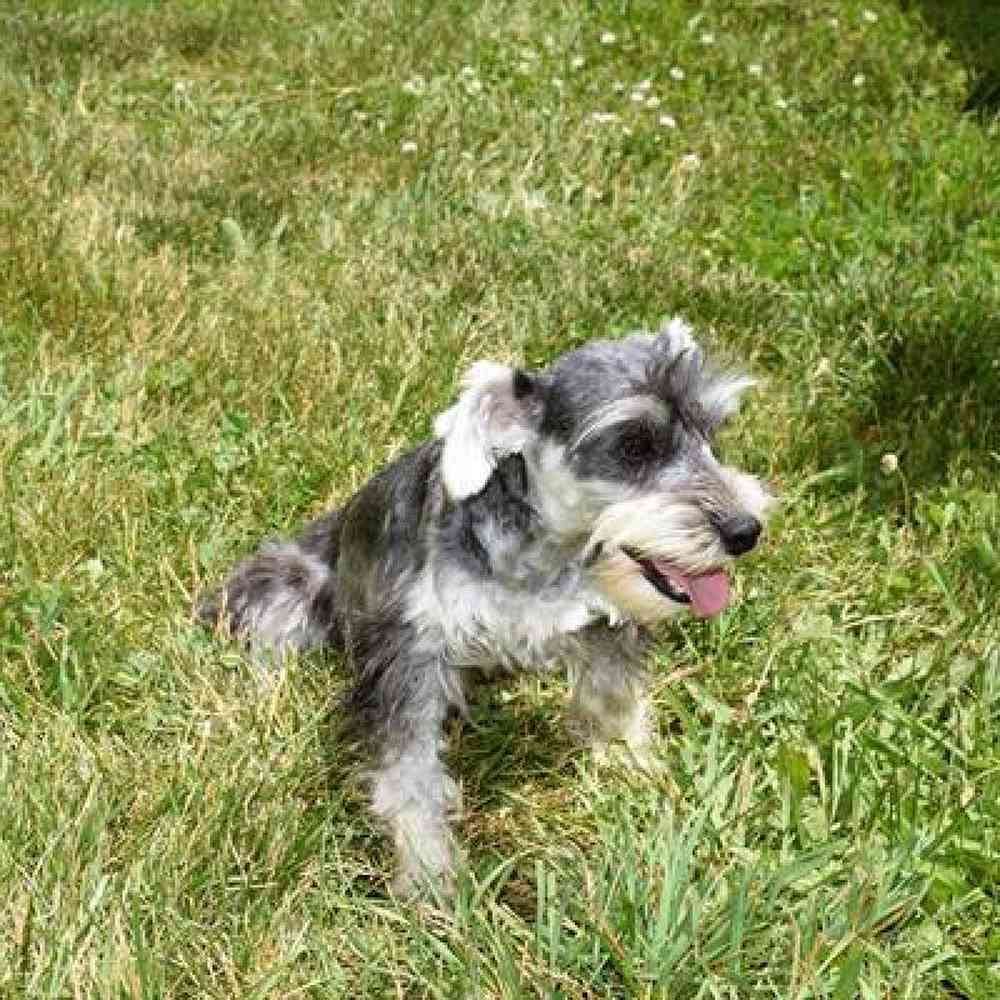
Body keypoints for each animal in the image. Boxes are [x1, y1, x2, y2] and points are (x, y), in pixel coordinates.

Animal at [197, 318, 772, 892]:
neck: (542, 559)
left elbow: (615, 704)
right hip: (286, 583)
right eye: (633, 445)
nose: (745, 531)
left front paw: (639, 776)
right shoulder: (410, 657)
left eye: (712, 433)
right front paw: (428, 878)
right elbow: (411, 778)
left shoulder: (603, 628)